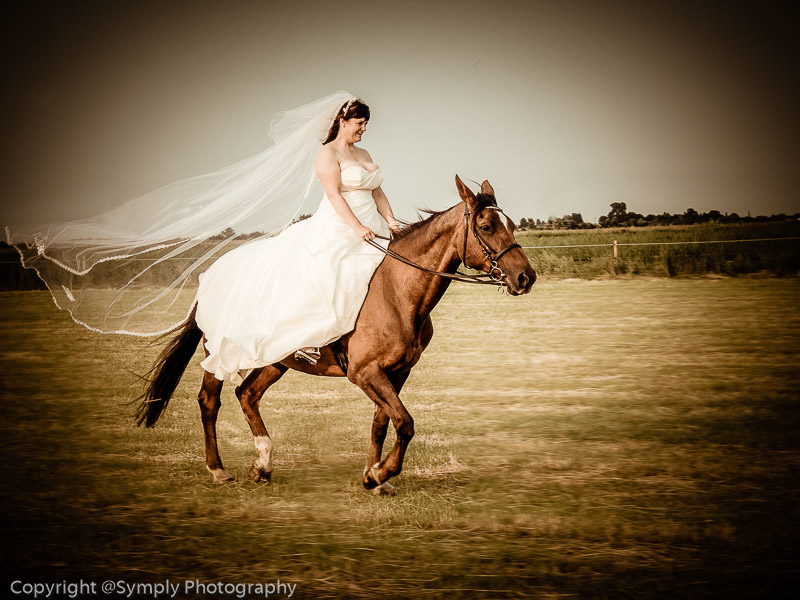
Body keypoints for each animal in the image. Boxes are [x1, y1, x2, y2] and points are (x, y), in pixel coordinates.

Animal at [138, 176, 536, 494]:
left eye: (512, 225)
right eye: (486, 226)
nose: (525, 278)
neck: (397, 291)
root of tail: (211, 273)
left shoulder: (396, 373)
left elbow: (382, 423)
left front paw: (373, 477)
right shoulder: (365, 372)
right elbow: (405, 423)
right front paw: (381, 474)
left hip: (277, 359)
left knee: (247, 394)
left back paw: (263, 464)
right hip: (219, 352)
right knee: (210, 401)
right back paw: (218, 470)